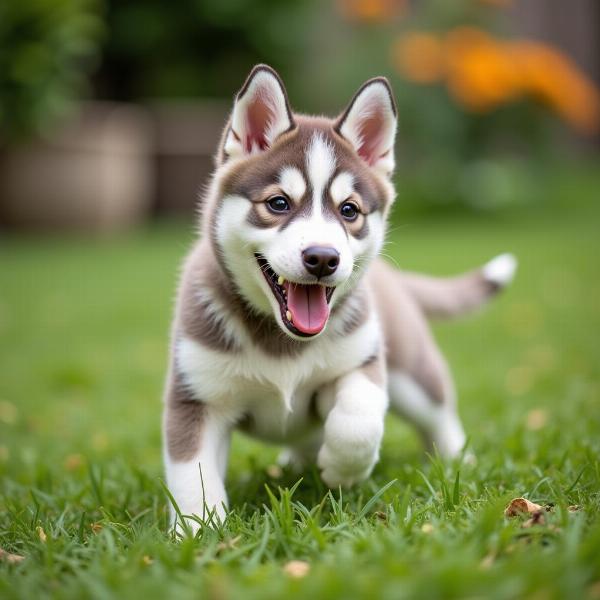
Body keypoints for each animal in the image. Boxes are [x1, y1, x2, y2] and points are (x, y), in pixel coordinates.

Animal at [163, 63, 516, 528]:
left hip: (412, 375)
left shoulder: (361, 360)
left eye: (349, 210)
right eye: (278, 203)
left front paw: (343, 470)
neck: (282, 342)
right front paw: (199, 532)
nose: (323, 258)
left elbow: (359, 419)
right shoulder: (196, 398)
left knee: (439, 413)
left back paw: (460, 460)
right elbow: (193, 475)